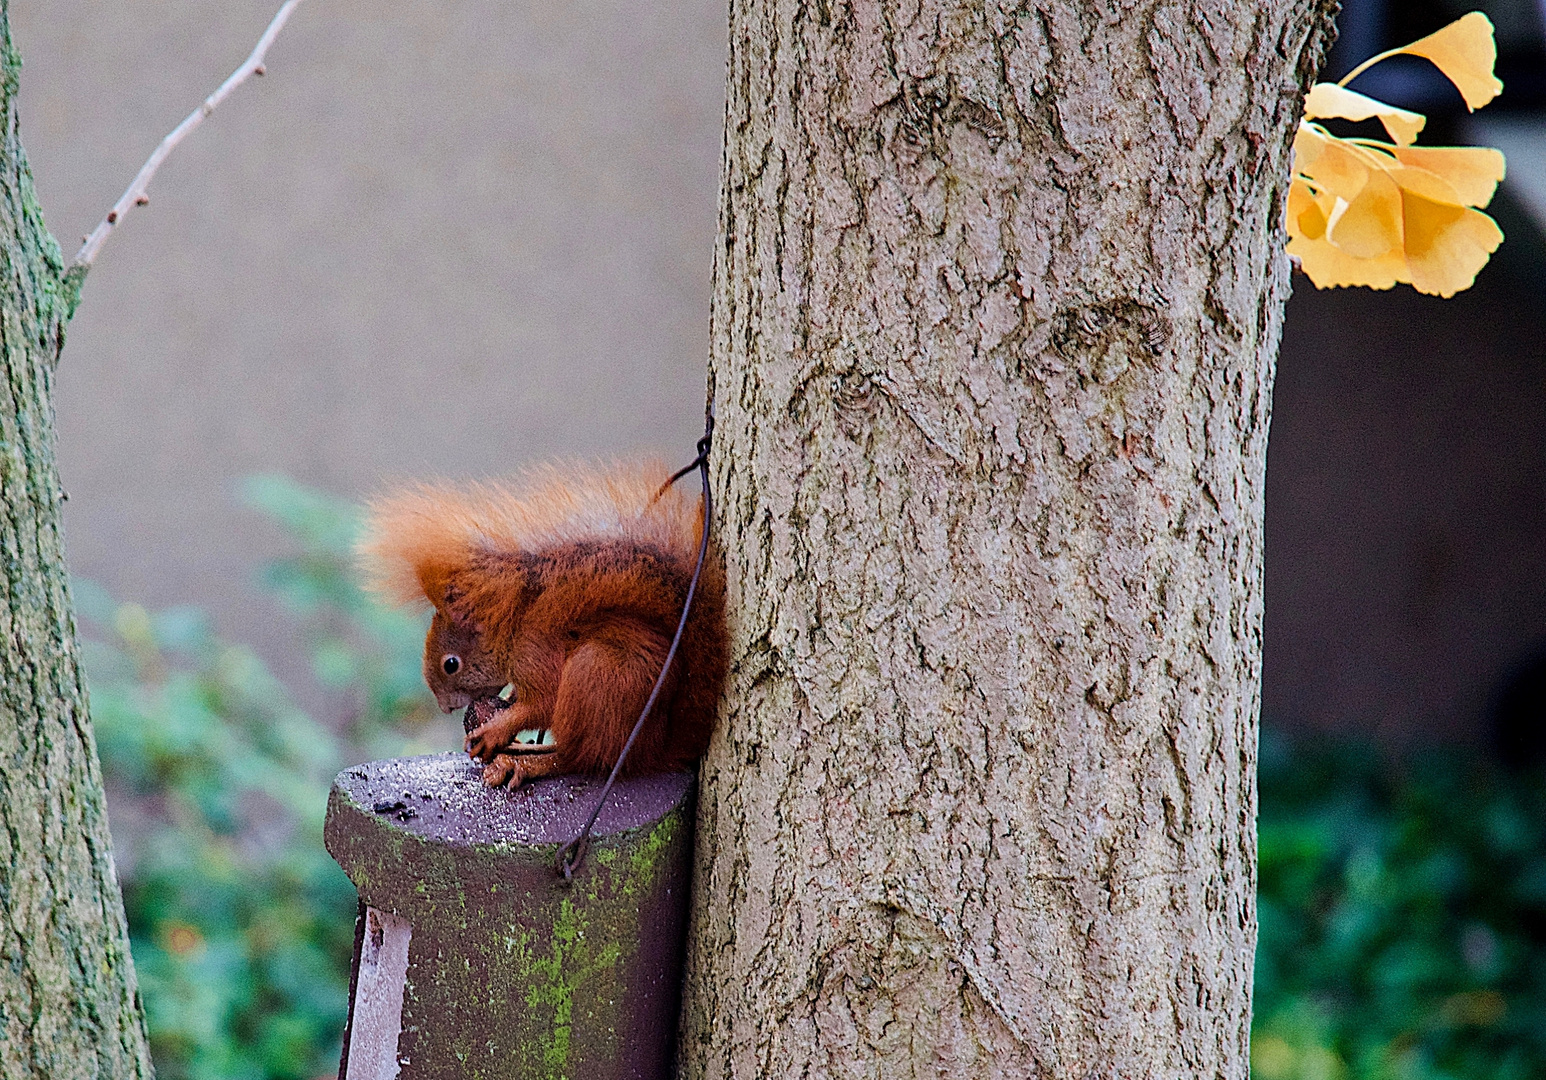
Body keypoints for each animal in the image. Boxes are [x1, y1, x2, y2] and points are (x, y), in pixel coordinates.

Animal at [358, 460, 726, 791]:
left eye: (451, 664)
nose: (445, 708)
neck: (514, 625)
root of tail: (657, 750)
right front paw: (507, 702)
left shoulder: (534, 647)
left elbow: (544, 702)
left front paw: (495, 730)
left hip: (597, 677)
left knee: (580, 759)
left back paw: (530, 763)